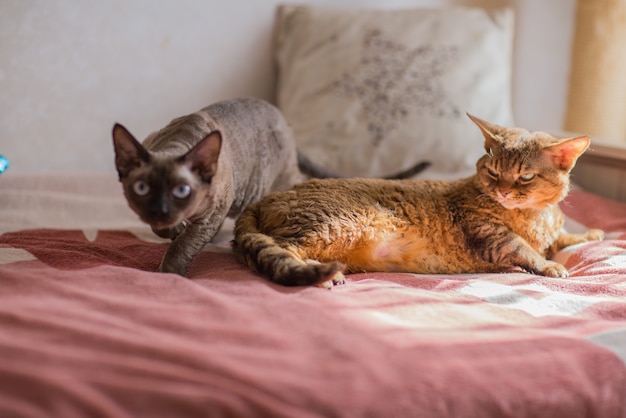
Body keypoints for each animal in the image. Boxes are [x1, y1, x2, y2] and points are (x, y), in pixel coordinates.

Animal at [113, 96, 428, 276]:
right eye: (142, 189)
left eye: (181, 191)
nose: (161, 211)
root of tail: (283, 120)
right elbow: (167, 233)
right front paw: (171, 230)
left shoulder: (210, 215)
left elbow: (183, 247)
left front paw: (170, 273)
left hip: (279, 182)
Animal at [232, 114, 604, 288]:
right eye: (494, 172)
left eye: (525, 177)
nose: (503, 192)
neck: (536, 215)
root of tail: (266, 198)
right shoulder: (491, 235)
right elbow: (525, 249)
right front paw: (550, 265)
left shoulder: (548, 231)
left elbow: (561, 239)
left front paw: (589, 234)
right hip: (333, 225)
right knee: (278, 247)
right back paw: (321, 275)